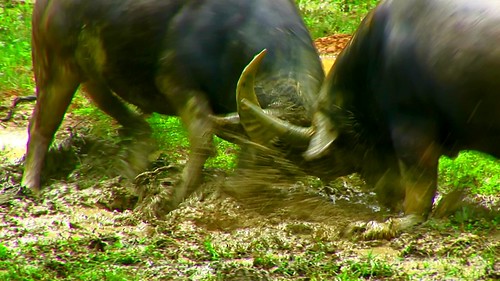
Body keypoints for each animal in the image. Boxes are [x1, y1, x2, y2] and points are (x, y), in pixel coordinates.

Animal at [22, 0, 324, 208]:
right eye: (263, 149)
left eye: (292, 164)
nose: (250, 191)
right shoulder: (175, 81)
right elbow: (203, 135)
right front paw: (173, 197)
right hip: (54, 62)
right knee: (42, 124)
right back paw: (30, 187)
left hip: (90, 66)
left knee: (102, 95)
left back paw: (136, 152)